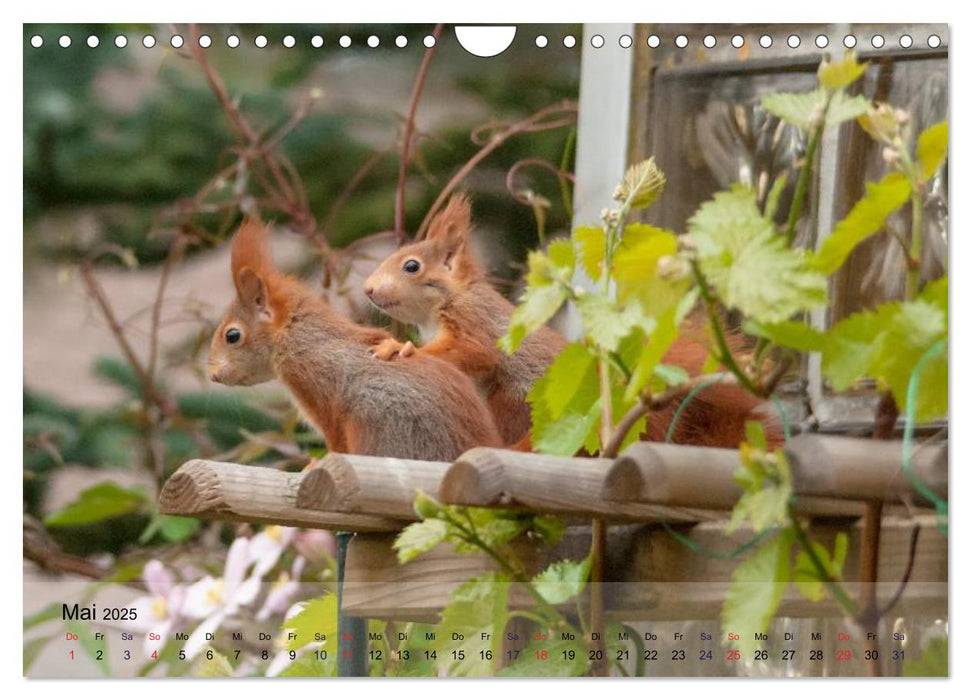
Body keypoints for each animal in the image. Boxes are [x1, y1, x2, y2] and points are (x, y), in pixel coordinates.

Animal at [210, 216, 504, 462]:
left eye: (232, 336)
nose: (212, 375)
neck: (297, 336)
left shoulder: (312, 380)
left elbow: (335, 441)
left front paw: (313, 466)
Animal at [360, 194, 780, 452]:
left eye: (411, 266)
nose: (367, 289)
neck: (441, 307)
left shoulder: (475, 323)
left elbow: (470, 351)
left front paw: (401, 347)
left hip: (516, 402)